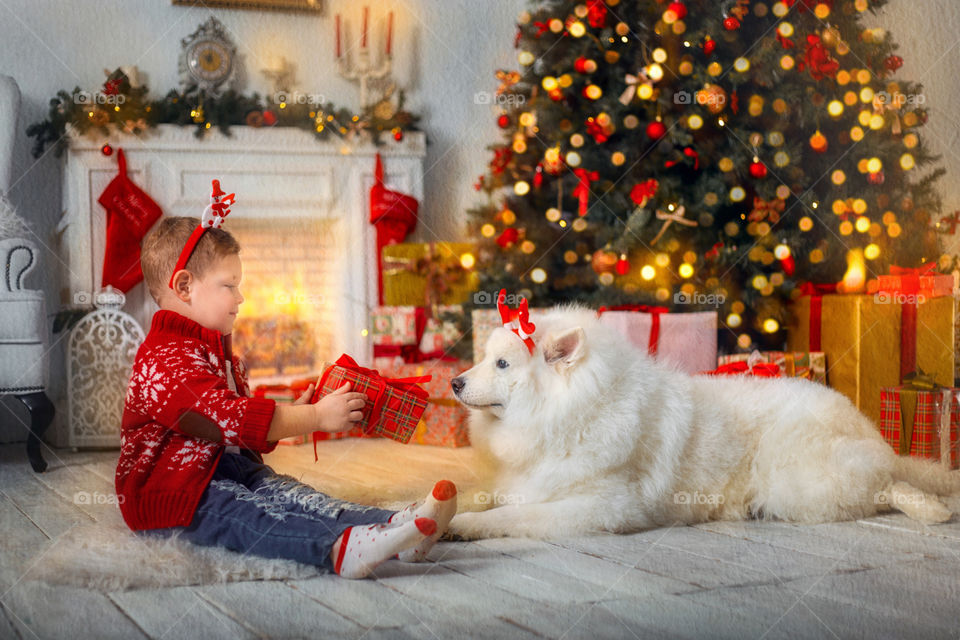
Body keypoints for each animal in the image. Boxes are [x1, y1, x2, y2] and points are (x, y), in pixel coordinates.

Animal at [450, 302, 960, 536]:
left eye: (502, 364)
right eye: (487, 358)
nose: (454, 382)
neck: (570, 412)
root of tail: (865, 427)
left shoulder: (599, 506)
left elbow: (513, 515)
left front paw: (461, 527)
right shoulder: (519, 479)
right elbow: (476, 493)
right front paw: (443, 507)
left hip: (798, 478)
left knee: (884, 486)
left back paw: (931, 508)